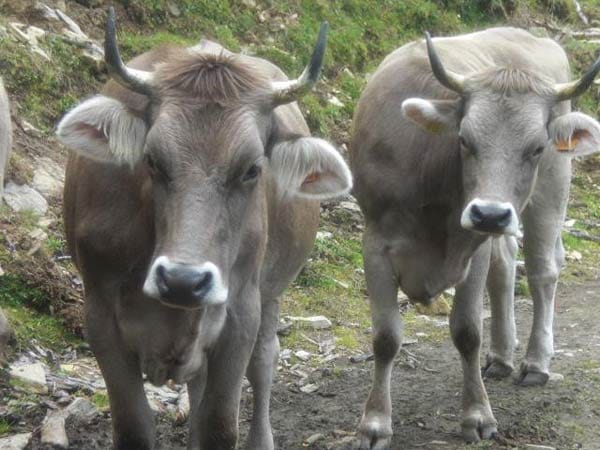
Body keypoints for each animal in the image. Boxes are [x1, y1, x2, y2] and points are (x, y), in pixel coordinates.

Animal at [56, 7, 352, 450]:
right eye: (152, 160)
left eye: (252, 169)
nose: (183, 281)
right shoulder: (100, 316)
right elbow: (134, 427)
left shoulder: (240, 315)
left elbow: (218, 426)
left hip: (270, 294)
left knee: (264, 362)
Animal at [350, 28, 600, 446]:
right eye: (465, 140)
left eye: (536, 147)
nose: (491, 213)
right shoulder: (376, 244)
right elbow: (385, 337)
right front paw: (374, 423)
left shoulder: (473, 248)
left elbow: (467, 331)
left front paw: (477, 416)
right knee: (505, 266)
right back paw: (500, 357)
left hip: (551, 189)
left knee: (541, 271)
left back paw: (536, 361)